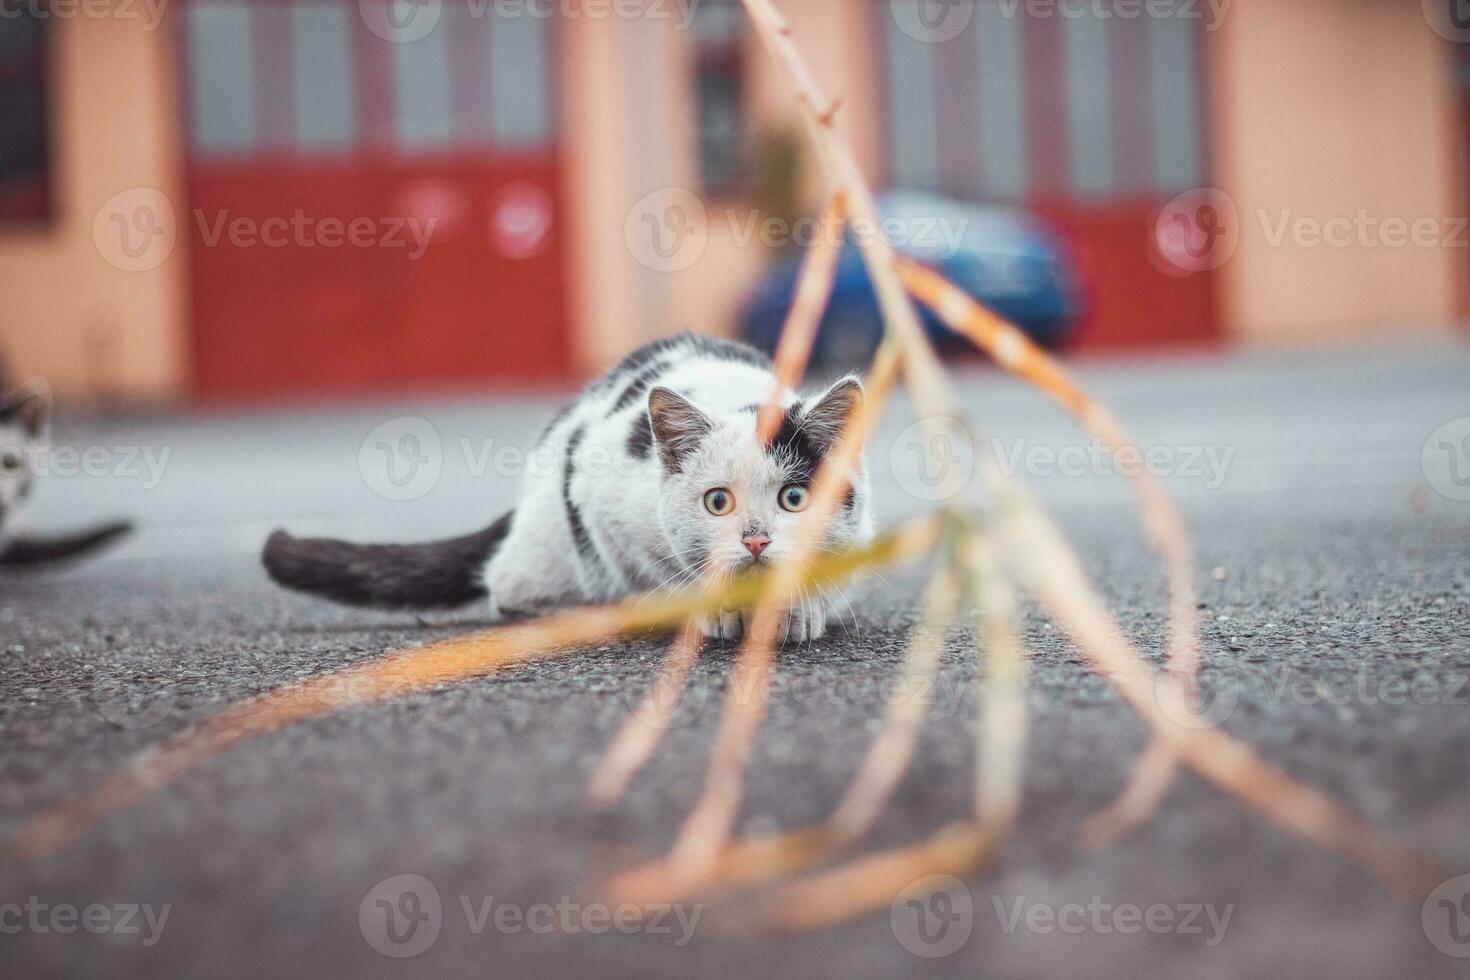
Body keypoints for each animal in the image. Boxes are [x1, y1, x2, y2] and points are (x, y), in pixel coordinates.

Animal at [261, 337, 870, 643]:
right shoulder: (600, 498)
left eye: (794, 499)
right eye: (717, 501)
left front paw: (799, 611)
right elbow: (661, 570)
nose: (755, 540)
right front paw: (712, 609)